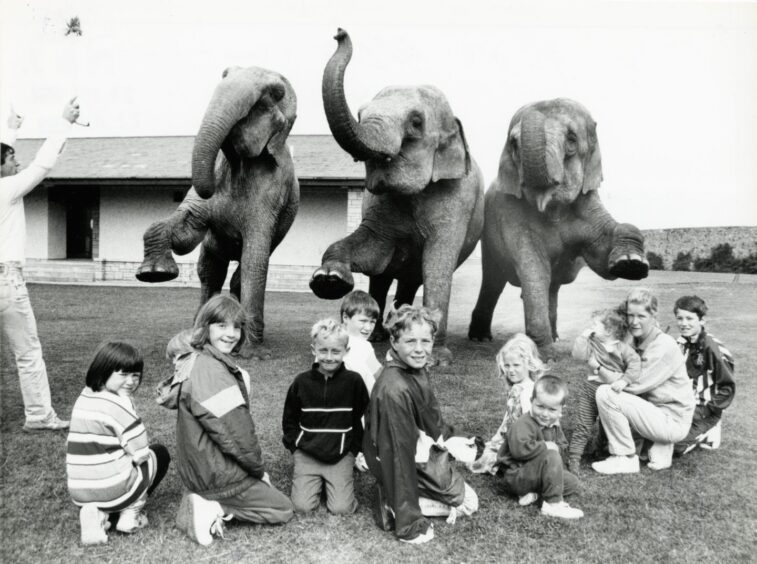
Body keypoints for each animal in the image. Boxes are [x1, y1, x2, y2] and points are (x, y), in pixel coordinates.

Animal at [136, 64, 298, 350]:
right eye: (224, 75)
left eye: (275, 94)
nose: (207, 188)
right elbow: (187, 234)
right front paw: (154, 273)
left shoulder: (272, 193)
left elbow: (255, 259)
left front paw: (251, 351)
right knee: (209, 272)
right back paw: (197, 331)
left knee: (239, 273)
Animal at [308, 29, 482, 366]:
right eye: (360, 113)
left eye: (415, 122)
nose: (339, 33)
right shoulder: (377, 204)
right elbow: (371, 247)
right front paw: (329, 279)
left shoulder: (458, 200)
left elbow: (438, 263)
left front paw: (437, 359)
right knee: (383, 278)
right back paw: (379, 333)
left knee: (412, 278)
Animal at [470, 99, 648, 356]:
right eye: (514, 144)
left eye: (571, 140)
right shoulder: (508, 212)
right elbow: (534, 268)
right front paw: (544, 351)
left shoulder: (586, 202)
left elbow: (602, 263)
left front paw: (631, 264)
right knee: (493, 281)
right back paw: (481, 338)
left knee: (552, 287)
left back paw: (554, 335)